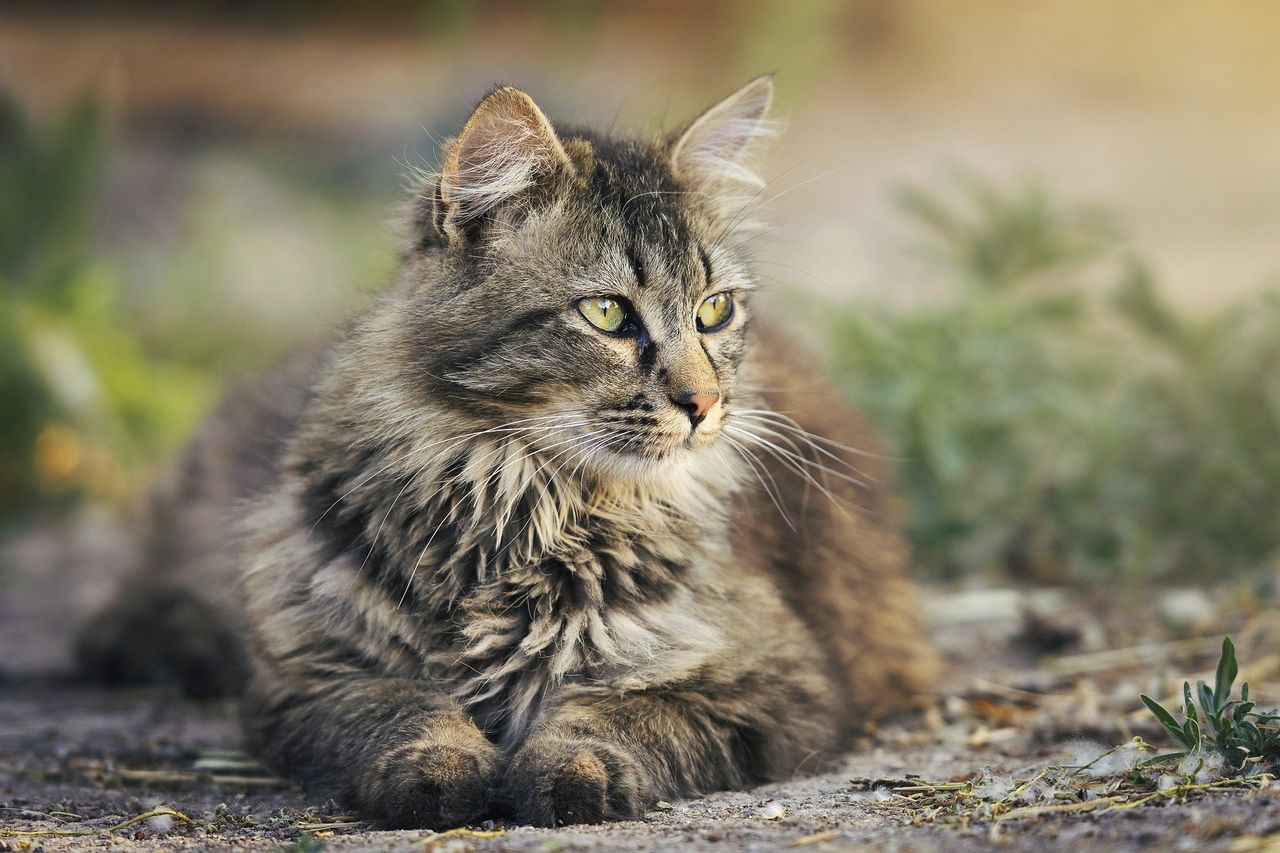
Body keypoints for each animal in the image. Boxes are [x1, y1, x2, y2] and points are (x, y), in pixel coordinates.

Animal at [82, 78, 942, 824]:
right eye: (606, 313)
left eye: (714, 311)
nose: (703, 406)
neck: (519, 501)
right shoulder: (311, 672)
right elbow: (403, 706)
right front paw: (440, 767)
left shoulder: (779, 682)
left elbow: (618, 711)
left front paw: (570, 769)